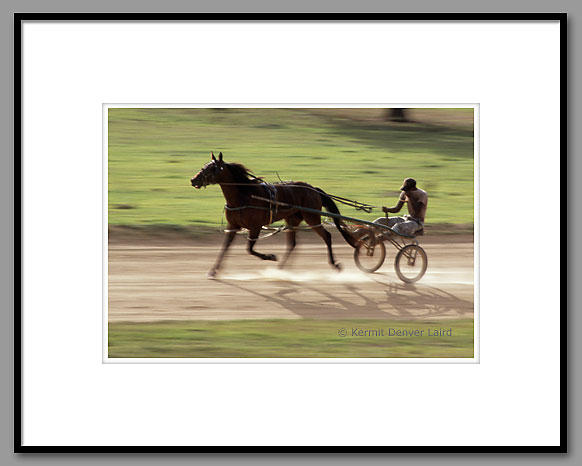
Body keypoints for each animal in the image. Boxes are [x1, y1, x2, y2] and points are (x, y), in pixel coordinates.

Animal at [192, 151, 358, 278]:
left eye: (212, 168)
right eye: (204, 166)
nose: (193, 180)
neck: (244, 195)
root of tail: (313, 189)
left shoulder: (255, 226)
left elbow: (249, 249)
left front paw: (270, 256)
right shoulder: (232, 225)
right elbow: (225, 247)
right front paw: (213, 271)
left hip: (312, 217)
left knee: (327, 236)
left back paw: (335, 265)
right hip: (293, 219)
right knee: (292, 244)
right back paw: (280, 270)